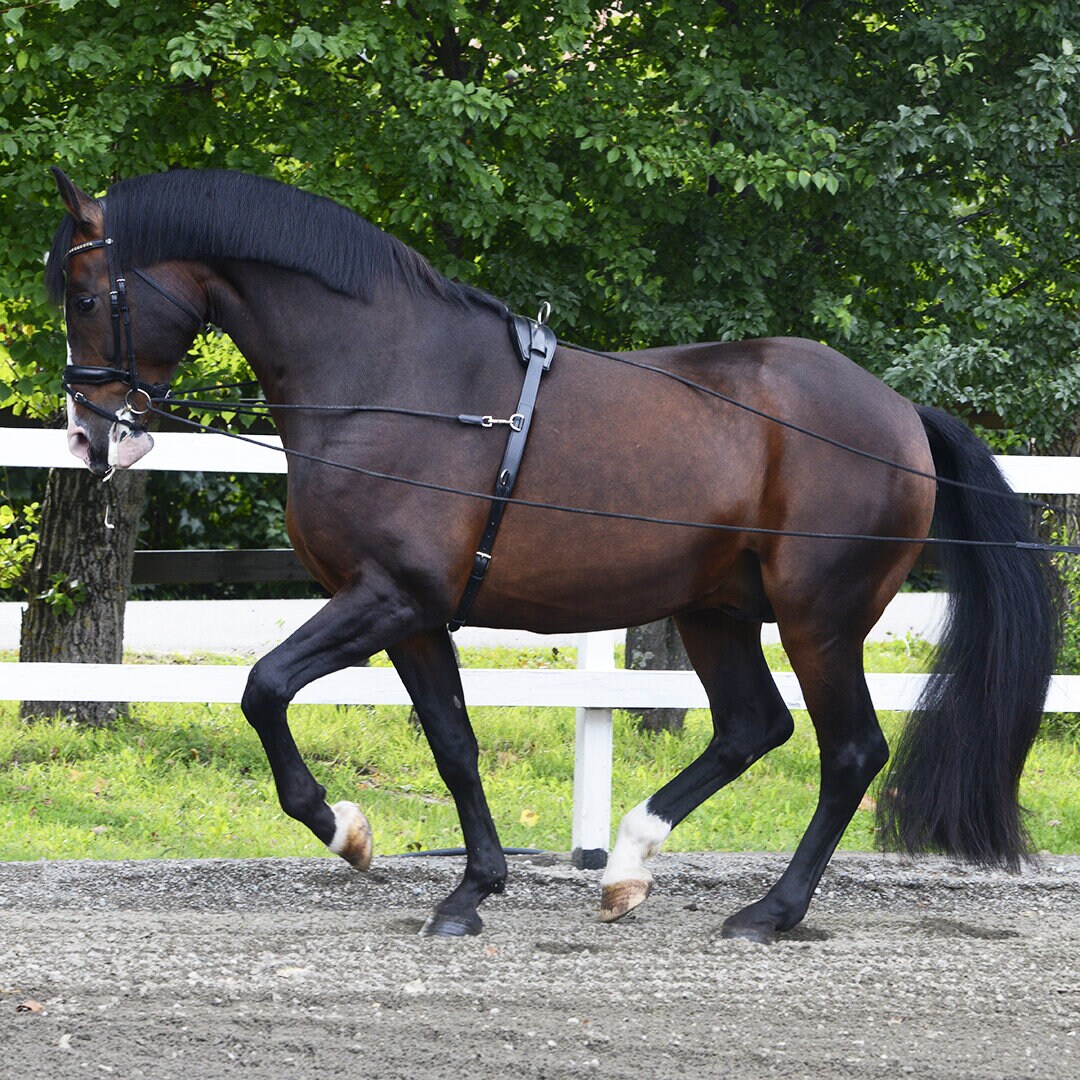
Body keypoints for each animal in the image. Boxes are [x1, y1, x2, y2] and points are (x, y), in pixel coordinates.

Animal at [46, 164, 1058, 941]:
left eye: (89, 297)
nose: (90, 439)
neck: (389, 380)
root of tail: (899, 413)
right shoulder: (414, 616)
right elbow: (454, 743)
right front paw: (470, 891)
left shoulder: (389, 597)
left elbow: (263, 688)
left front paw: (348, 830)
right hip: (716, 609)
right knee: (751, 727)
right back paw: (627, 865)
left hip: (820, 619)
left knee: (848, 751)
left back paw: (767, 912)